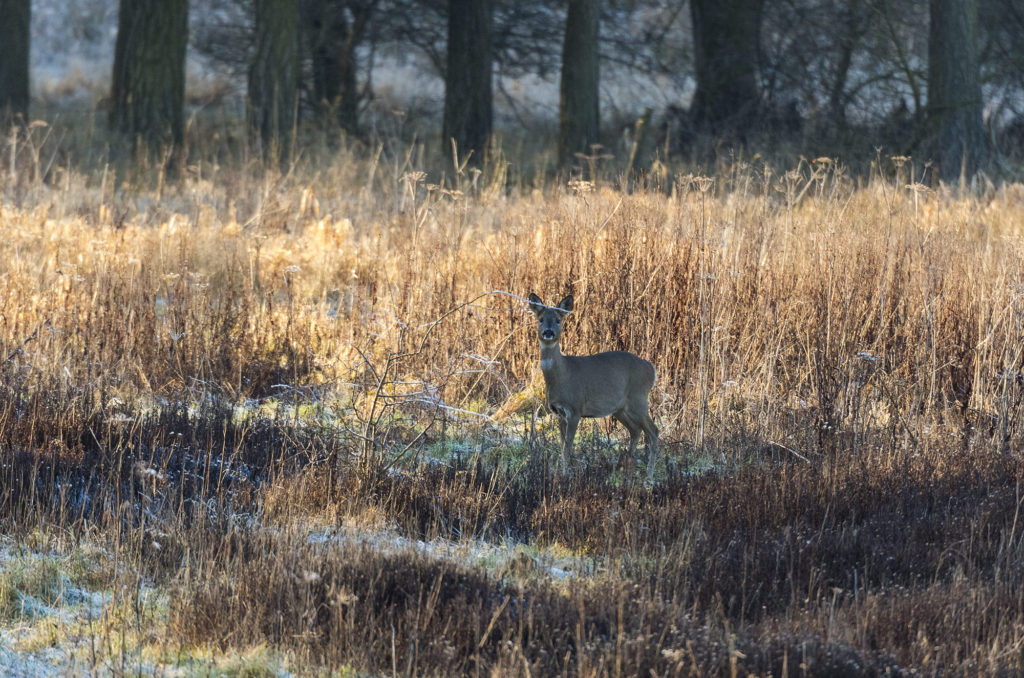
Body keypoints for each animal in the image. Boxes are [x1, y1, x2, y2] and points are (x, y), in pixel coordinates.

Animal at [528, 292, 655, 477]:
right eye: (541, 319)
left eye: (558, 320)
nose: (548, 332)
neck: (562, 375)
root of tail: (652, 369)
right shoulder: (559, 413)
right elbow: (562, 445)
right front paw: (559, 472)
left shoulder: (575, 409)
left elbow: (568, 447)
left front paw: (565, 474)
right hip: (620, 408)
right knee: (636, 430)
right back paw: (625, 469)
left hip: (638, 399)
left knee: (653, 432)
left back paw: (649, 475)